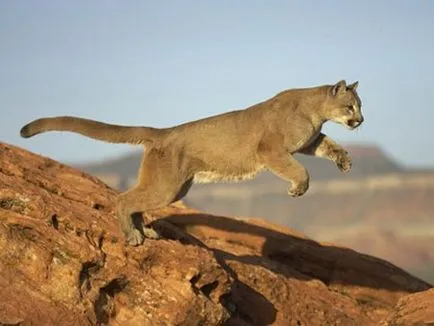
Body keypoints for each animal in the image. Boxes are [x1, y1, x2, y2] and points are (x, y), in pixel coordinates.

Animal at [19, 79, 362, 244]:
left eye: (360, 106)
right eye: (350, 106)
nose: (360, 121)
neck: (316, 111)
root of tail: (164, 132)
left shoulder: (310, 141)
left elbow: (329, 146)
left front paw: (345, 162)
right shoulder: (271, 150)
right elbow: (298, 169)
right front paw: (298, 188)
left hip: (173, 187)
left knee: (135, 201)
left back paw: (146, 232)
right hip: (167, 187)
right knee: (123, 199)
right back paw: (132, 236)